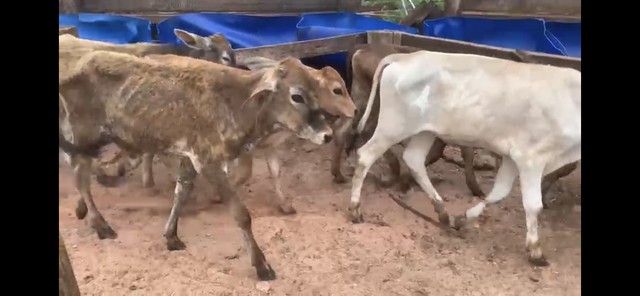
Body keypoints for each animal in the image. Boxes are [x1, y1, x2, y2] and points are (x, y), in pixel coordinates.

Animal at [58, 50, 336, 280]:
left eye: (316, 91)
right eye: (297, 96)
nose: (328, 135)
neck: (234, 103)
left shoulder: (190, 158)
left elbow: (181, 192)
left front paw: (171, 236)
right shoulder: (208, 161)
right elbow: (241, 215)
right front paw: (261, 265)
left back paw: (83, 210)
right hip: (84, 129)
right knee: (80, 175)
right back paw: (100, 224)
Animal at [350, 50, 580, 266]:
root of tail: (406, 56)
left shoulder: (512, 158)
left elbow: (498, 193)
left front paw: (463, 219)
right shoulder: (531, 158)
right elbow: (533, 205)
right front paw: (536, 251)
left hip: (425, 131)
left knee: (413, 159)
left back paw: (442, 211)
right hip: (393, 126)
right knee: (365, 155)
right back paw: (355, 209)